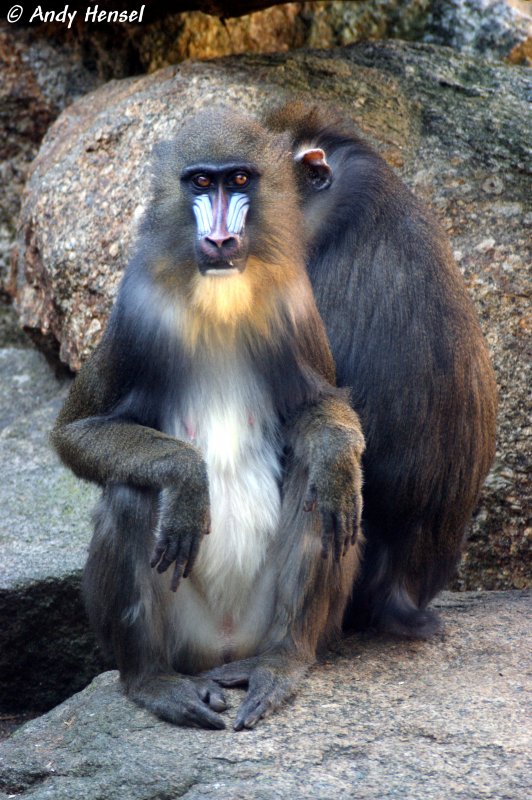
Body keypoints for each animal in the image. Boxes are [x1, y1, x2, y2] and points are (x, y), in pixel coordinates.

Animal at [53, 108, 366, 732]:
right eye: (200, 183)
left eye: (239, 181)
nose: (221, 239)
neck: (219, 298)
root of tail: (223, 648)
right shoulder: (135, 312)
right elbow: (77, 431)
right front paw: (185, 477)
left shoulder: (295, 304)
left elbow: (320, 411)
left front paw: (338, 458)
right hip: (182, 632)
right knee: (131, 492)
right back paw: (156, 683)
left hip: (263, 621)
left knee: (317, 486)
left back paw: (280, 663)